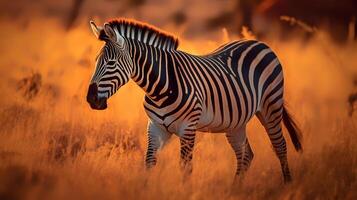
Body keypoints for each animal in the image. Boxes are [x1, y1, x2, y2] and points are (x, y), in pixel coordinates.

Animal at [86, 18, 300, 183]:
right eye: (96, 61)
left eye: (111, 63)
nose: (91, 99)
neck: (160, 87)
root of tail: (259, 43)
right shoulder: (155, 127)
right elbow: (149, 162)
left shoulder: (187, 128)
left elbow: (185, 168)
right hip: (236, 122)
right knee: (245, 154)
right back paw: (234, 190)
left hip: (271, 106)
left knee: (280, 145)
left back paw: (287, 185)